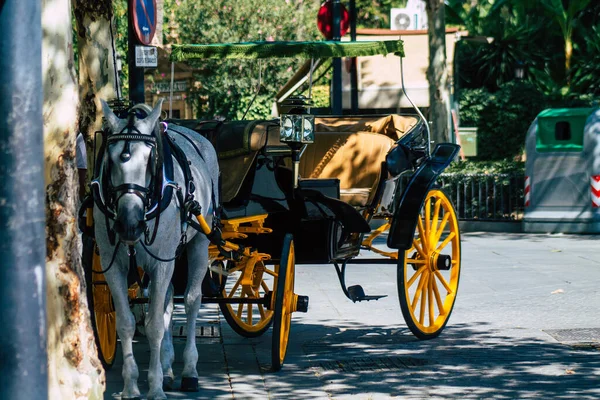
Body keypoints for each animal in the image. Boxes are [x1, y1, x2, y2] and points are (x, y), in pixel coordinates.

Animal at [92, 100, 218, 400]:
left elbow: (154, 325)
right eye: (110, 159)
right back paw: (168, 367)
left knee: (192, 300)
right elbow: (127, 322)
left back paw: (189, 371)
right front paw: (131, 386)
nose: (129, 224)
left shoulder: (162, 263)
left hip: (199, 243)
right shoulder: (113, 265)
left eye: (150, 160)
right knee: (169, 300)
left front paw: (156, 386)